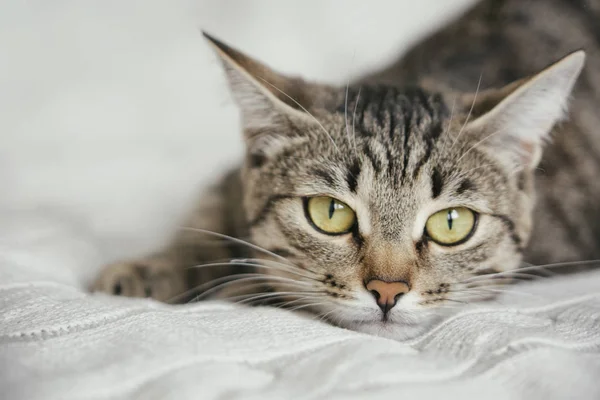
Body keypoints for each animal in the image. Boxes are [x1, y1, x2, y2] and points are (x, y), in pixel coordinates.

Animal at [94, 0, 600, 340]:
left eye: (452, 223)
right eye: (330, 213)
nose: (387, 292)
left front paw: (240, 284)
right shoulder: (227, 183)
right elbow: (208, 217)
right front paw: (152, 267)